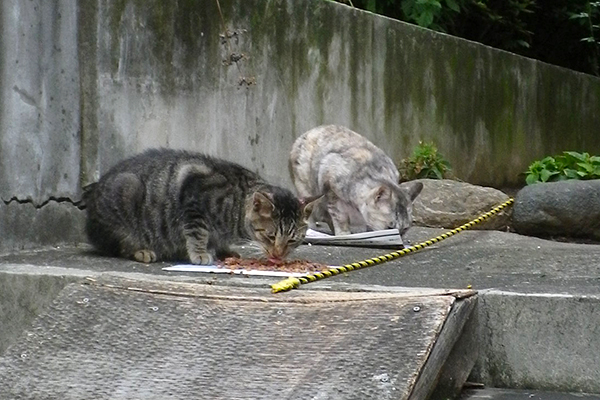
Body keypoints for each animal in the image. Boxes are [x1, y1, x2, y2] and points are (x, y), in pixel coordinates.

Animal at [85, 148, 322, 264]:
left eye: (292, 240)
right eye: (271, 236)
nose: (278, 256)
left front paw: (224, 251)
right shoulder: (194, 201)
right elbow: (198, 232)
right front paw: (200, 253)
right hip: (127, 191)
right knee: (118, 244)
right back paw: (141, 250)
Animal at [290, 126, 422, 238]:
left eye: (405, 229)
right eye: (390, 227)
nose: (398, 237)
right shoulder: (331, 190)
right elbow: (340, 218)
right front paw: (343, 235)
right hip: (307, 190)